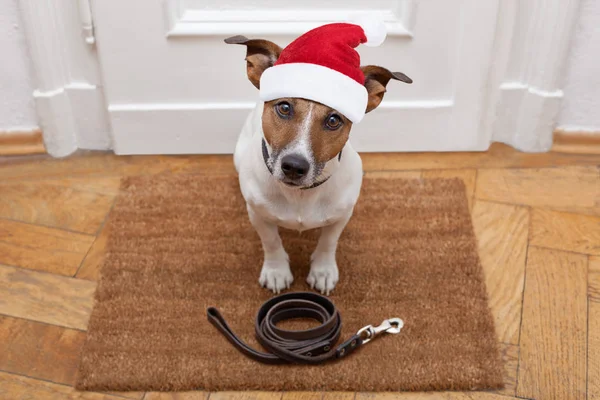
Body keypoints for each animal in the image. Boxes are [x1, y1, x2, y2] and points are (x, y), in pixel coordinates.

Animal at [227, 25, 410, 294]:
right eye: (284, 107)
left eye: (334, 120)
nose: (294, 166)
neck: (301, 195)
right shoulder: (258, 214)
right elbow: (271, 241)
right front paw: (276, 270)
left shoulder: (341, 216)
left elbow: (328, 241)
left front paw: (322, 271)